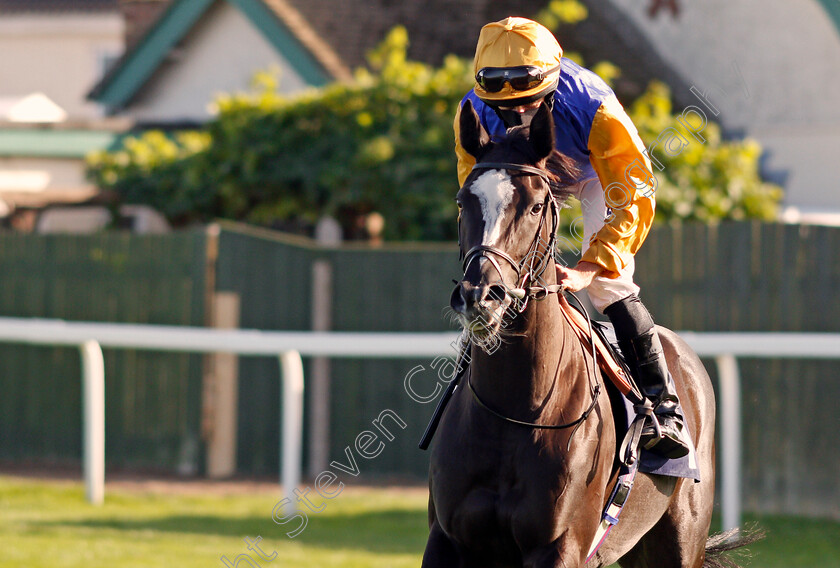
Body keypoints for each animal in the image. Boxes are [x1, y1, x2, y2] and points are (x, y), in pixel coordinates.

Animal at [424, 102, 756, 568]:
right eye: (463, 201)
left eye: (535, 206)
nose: (479, 296)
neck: (512, 409)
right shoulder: (446, 539)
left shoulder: (560, 546)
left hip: (679, 540)